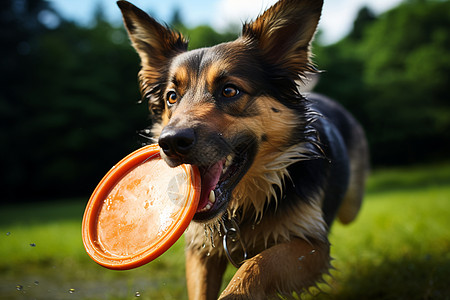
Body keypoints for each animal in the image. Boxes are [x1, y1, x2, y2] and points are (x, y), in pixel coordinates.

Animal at [118, 0, 370, 298]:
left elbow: (256, 266)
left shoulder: (312, 245)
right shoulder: (200, 249)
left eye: (229, 91)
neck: (241, 209)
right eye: (171, 97)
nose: (170, 143)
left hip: (351, 205)